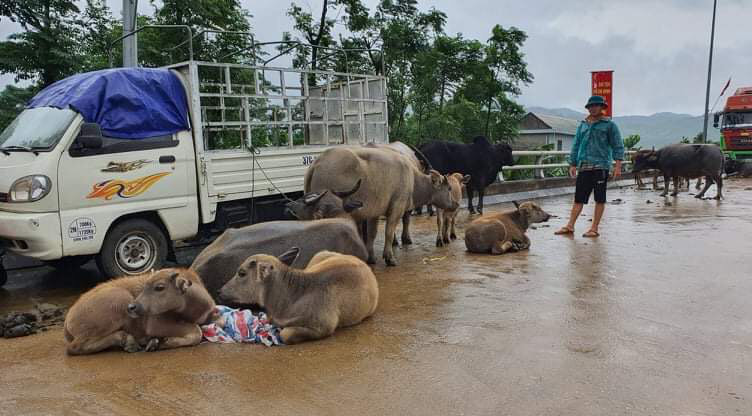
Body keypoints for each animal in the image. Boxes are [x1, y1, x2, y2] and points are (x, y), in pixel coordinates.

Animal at [62, 270, 216, 354]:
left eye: (159, 287)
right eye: (145, 286)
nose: (132, 307)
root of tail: (68, 318)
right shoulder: (155, 324)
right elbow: (197, 331)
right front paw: (160, 342)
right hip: (120, 298)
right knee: (73, 347)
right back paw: (129, 341)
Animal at [302, 145, 456, 264]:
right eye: (449, 188)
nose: (454, 204)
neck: (413, 180)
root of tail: (317, 162)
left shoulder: (373, 213)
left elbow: (372, 234)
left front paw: (371, 258)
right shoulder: (396, 209)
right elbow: (389, 232)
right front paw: (389, 257)